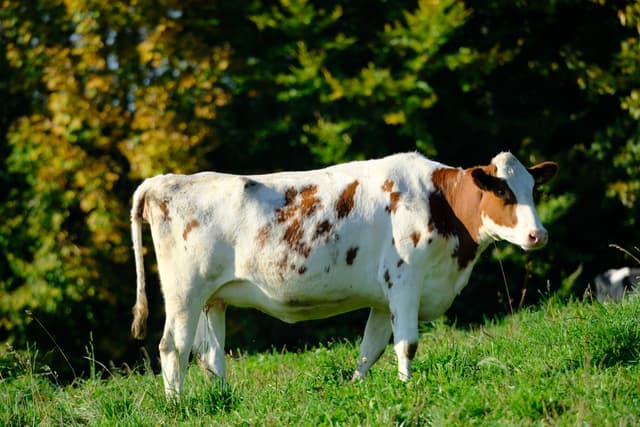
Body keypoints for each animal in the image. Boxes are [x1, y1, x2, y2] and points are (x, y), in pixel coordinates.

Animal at [130, 151, 558, 396]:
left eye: (533, 189)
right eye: (502, 192)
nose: (539, 235)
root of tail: (164, 180)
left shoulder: (384, 298)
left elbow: (372, 348)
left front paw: (359, 388)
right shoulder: (405, 279)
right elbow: (407, 344)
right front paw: (407, 388)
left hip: (213, 297)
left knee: (211, 356)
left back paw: (223, 400)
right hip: (184, 292)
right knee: (172, 347)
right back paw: (177, 405)